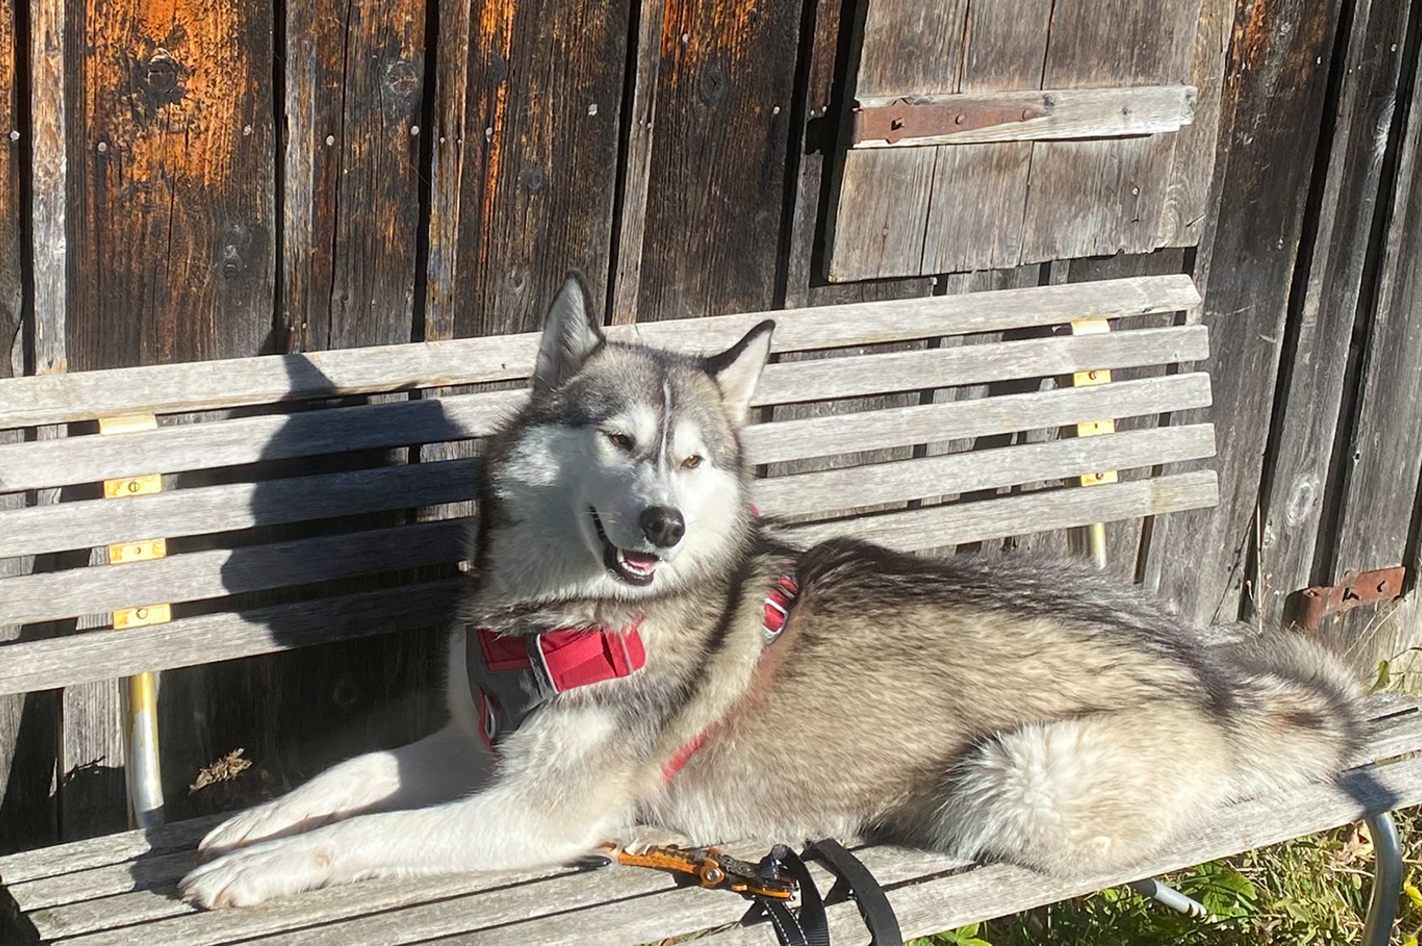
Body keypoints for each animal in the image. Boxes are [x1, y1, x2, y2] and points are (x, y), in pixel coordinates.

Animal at [180, 274, 1365, 910]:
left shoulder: (542, 810)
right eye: (619, 440)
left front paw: (264, 865)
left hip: (1016, 775)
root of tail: (1214, 680)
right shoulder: (477, 744)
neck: (562, 617)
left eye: (692, 459)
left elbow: (368, 833)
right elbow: (352, 771)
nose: (662, 524)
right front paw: (252, 822)